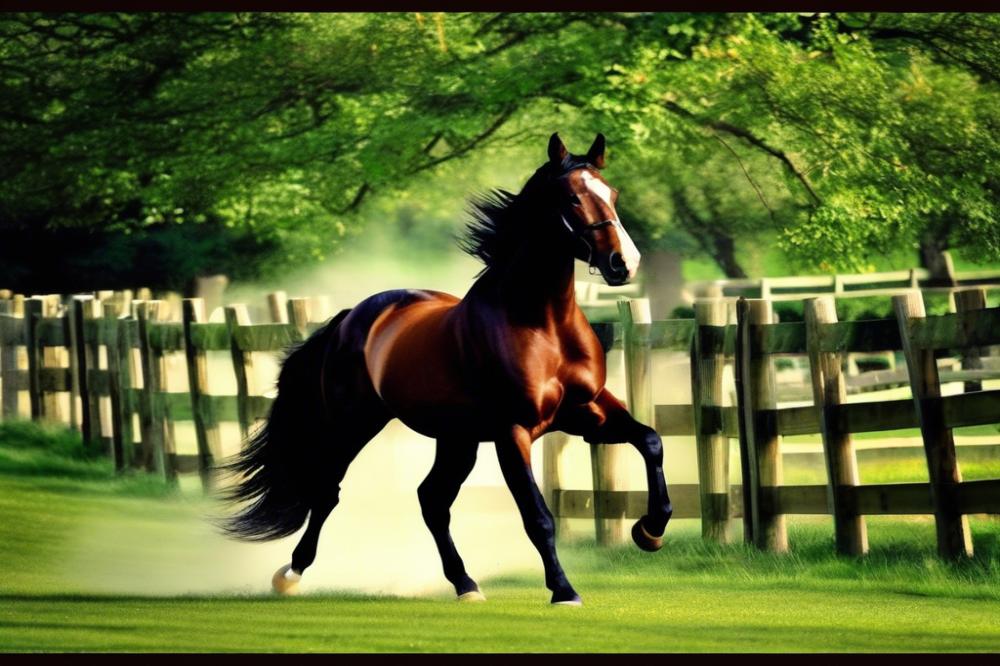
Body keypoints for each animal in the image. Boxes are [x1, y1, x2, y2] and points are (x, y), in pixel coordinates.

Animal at [223, 132, 676, 604]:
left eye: (613, 193)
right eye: (571, 198)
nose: (623, 263)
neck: (541, 324)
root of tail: (350, 318)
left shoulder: (587, 413)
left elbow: (650, 441)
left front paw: (650, 531)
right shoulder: (513, 432)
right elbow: (538, 517)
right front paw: (564, 590)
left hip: (456, 439)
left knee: (432, 499)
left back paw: (466, 584)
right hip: (354, 424)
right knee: (329, 491)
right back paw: (290, 574)